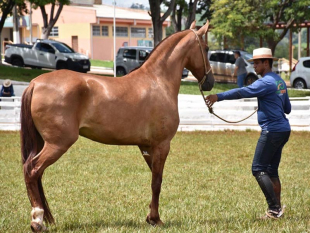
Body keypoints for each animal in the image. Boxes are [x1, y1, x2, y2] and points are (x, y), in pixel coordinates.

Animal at [20, 20, 214, 232]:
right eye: (206, 48)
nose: (210, 82)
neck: (157, 81)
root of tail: (35, 83)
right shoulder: (162, 145)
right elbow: (157, 182)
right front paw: (156, 219)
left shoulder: (147, 147)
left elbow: (154, 179)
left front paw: (150, 216)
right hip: (57, 144)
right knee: (33, 170)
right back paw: (37, 221)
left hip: (42, 142)